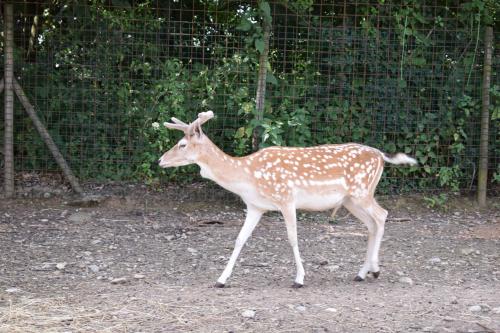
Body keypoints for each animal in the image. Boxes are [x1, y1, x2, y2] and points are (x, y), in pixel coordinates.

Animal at [158, 110, 416, 286]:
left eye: (182, 144)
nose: (160, 160)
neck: (247, 176)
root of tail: (381, 155)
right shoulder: (255, 206)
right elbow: (240, 239)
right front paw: (221, 279)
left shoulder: (286, 199)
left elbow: (292, 238)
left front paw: (299, 278)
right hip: (351, 200)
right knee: (372, 224)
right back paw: (363, 272)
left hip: (362, 191)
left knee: (382, 215)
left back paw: (375, 270)